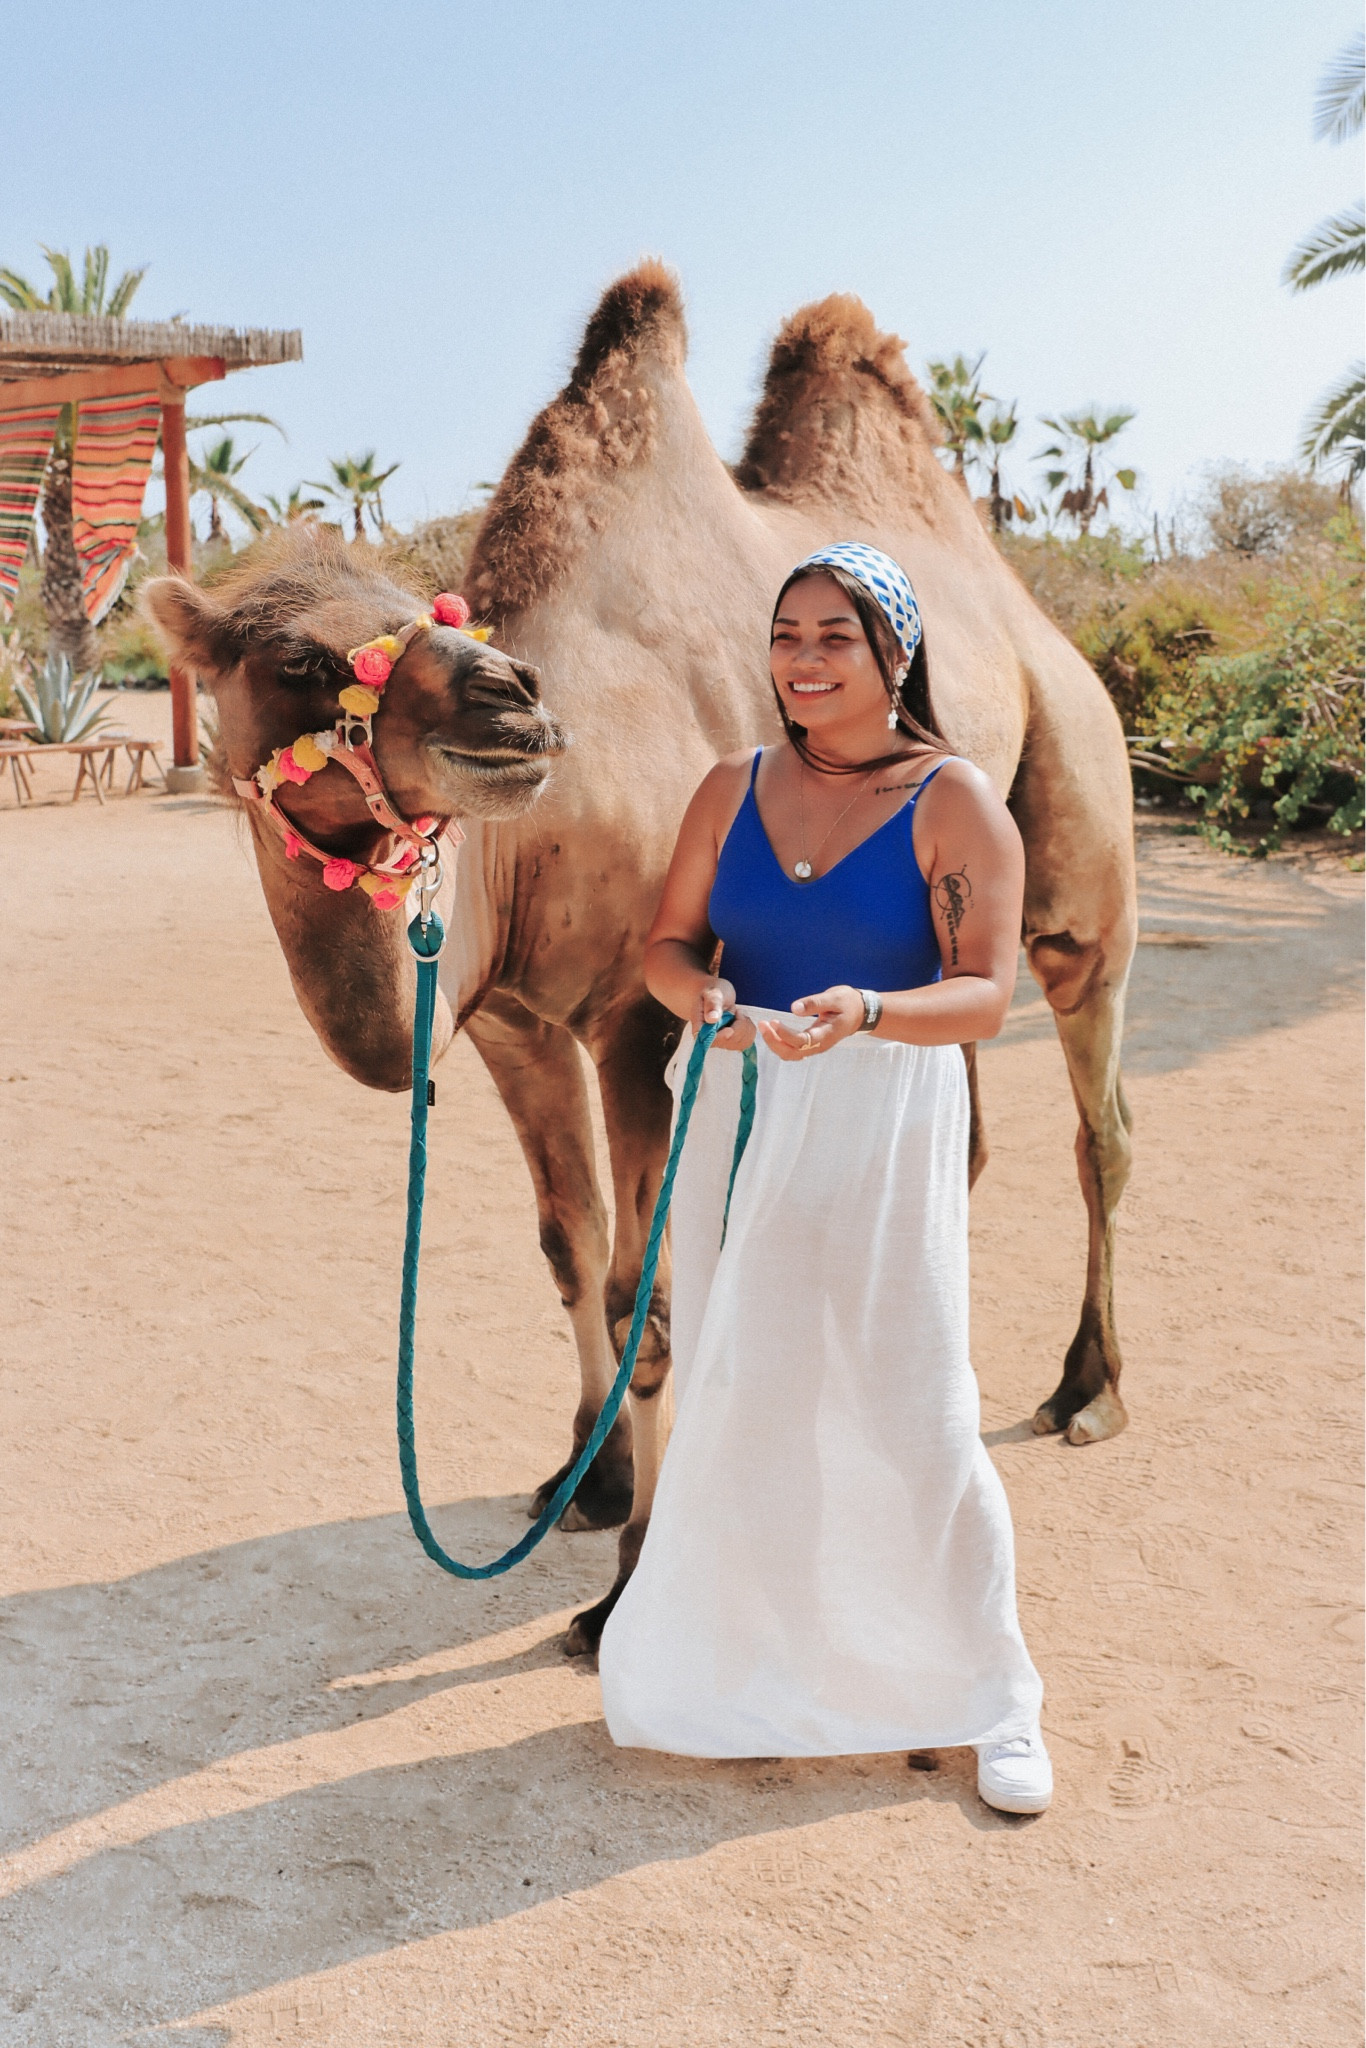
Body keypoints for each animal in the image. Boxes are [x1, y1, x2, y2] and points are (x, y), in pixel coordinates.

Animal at [144, 262, 1136, 1657]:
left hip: (1078, 857)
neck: (540, 837)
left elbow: (642, 1300)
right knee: (966, 1137)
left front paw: (625, 1589)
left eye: (421, 615)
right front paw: (585, 1476)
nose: (512, 705)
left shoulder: (639, 1021)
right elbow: (568, 1245)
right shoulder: (510, 1024)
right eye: (295, 656)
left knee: (1099, 1125)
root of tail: (1037, 621)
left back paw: (1087, 1391)